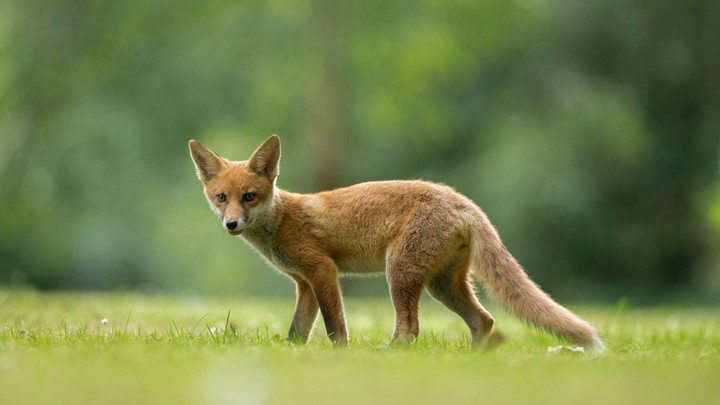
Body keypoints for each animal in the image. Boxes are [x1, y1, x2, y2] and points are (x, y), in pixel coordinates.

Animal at [189, 135, 604, 351]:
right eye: (222, 198)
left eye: (250, 197)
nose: (231, 224)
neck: (281, 219)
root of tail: (463, 201)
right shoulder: (304, 284)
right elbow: (297, 331)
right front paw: (292, 355)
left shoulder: (322, 270)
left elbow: (335, 326)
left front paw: (341, 356)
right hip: (442, 285)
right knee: (483, 320)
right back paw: (474, 360)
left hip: (400, 272)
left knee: (410, 329)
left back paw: (386, 356)